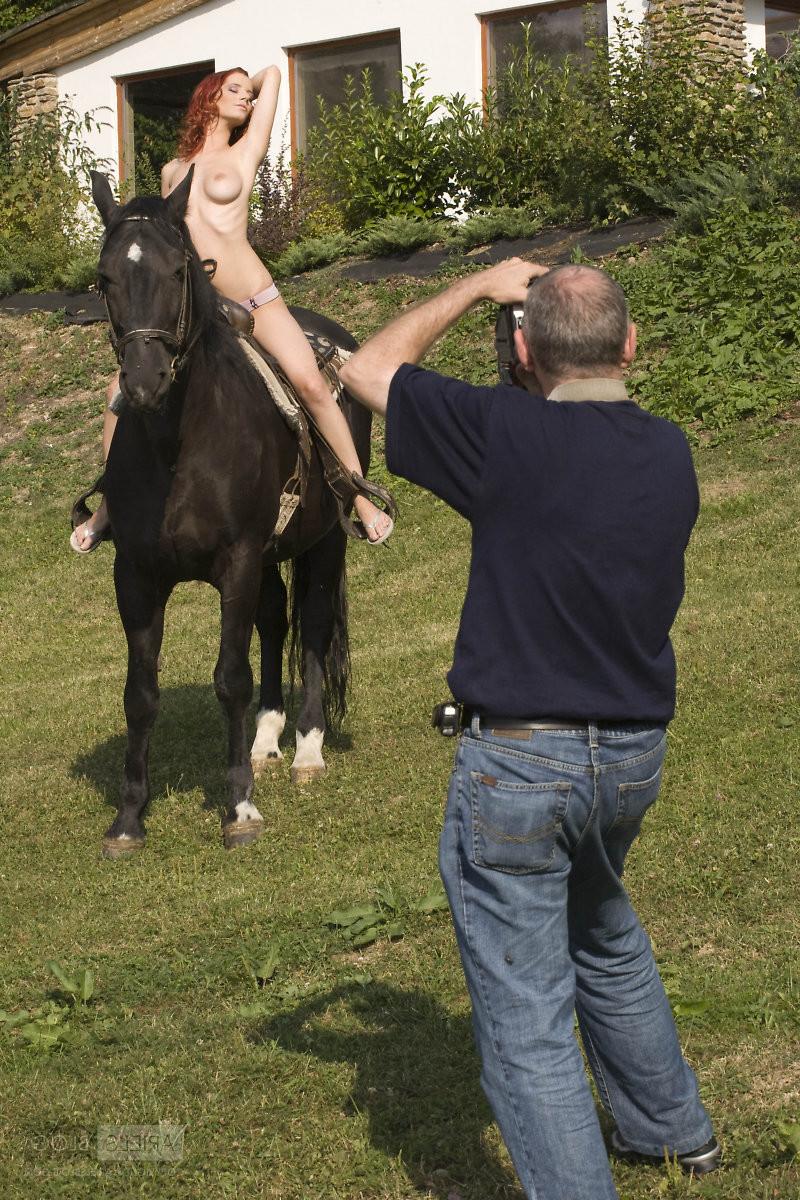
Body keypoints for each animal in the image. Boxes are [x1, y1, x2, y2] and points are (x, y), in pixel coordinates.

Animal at [86, 169, 375, 857]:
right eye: (105, 278)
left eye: (177, 271)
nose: (143, 381)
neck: (179, 444)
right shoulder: (136, 575)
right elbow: (140, 694)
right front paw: (129, 818)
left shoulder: (237, 561)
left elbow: (230, 678)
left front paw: (239, 807)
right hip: (271, 556)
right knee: (274, 621)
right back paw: (267, 738)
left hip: (323, 542)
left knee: (312, 625)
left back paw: (306, 749)